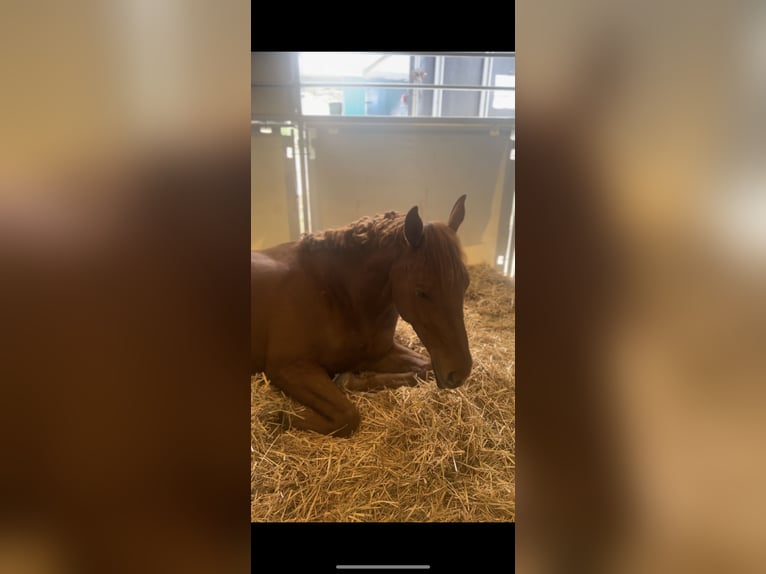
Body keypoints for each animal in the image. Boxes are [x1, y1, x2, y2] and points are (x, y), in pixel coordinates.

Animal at [251, 195, 473, 437]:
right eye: (421, 292)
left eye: (465, 283)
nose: (460, 372)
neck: (335, 293)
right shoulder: (288, 368)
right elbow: (348, 416)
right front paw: (279, 415)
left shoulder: (381, 353)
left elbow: (423, 369)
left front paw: (349, 379)